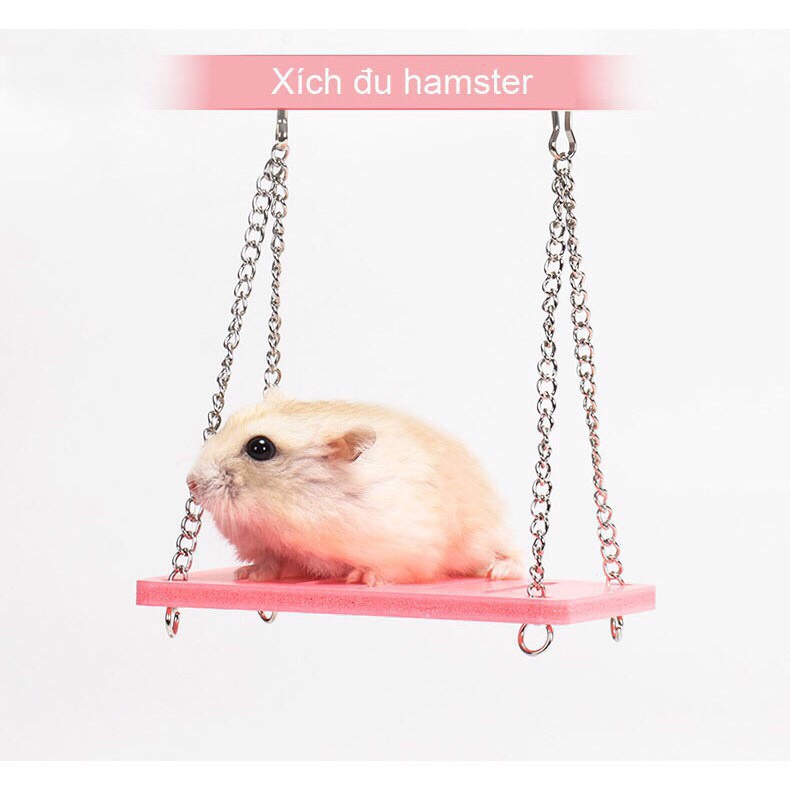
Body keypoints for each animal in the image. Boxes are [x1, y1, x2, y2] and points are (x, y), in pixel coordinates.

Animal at [186, 391, 523, 585]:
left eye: (260, 447)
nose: (191, 484)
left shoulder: (407, 544)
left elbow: (390, 569)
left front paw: (360, 578)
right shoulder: (277, 549)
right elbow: (273, 563)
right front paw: (247, 575)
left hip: (484, 537)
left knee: (514, 557)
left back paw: (496, 571)